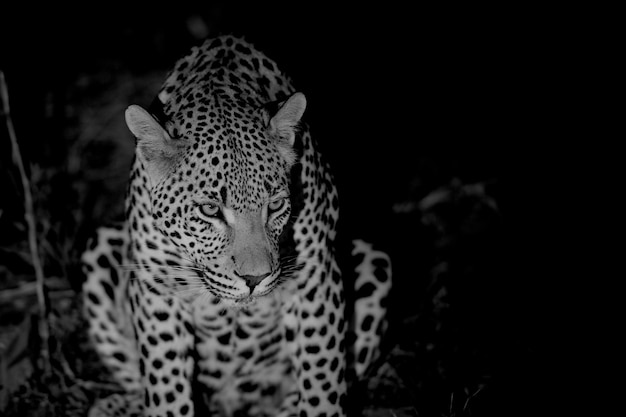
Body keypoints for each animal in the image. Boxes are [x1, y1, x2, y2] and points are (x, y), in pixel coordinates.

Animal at [80, 35, 388, 416]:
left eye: (275, 206)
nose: (255, 280)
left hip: (374, 261)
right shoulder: (157, 287)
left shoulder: (317, 276)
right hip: (102, 248)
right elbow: (166, 389)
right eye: (210, 210)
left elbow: (322, 379)